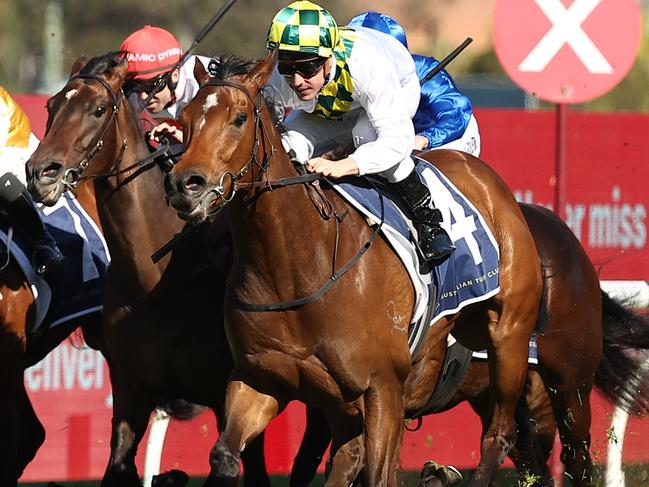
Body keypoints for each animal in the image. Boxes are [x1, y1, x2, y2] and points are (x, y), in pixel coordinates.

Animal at [25, 53, 268, 487]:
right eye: (51, 106)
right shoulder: (130, 393)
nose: (40, 172)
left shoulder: (231, 396)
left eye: (97, 109)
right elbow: (118, 464)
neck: (157, 282)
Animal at [163, 53, 548, 487]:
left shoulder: (383, 387)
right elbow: (224, 456)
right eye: (185, 117)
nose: (185, 184)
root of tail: (483, 176)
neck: (296, 269)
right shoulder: (259, 379)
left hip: (509, 335)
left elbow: (378, 472)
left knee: (499, 433)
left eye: (239, 118)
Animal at [290, 203, 649, 487]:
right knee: (531, 455)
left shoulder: (385, 394)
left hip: (567, 379)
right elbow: (309, 462)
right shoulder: (330, 403)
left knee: (575, 456)